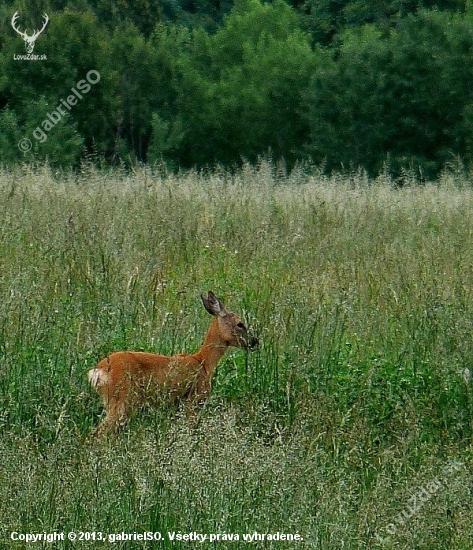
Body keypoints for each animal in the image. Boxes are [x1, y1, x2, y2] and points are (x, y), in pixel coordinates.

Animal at [86, 294, 256, 436]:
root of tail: (98, 370)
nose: (255, 341)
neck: (204, 362)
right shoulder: (194, 399)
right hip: (122, 398)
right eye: (240, 324)